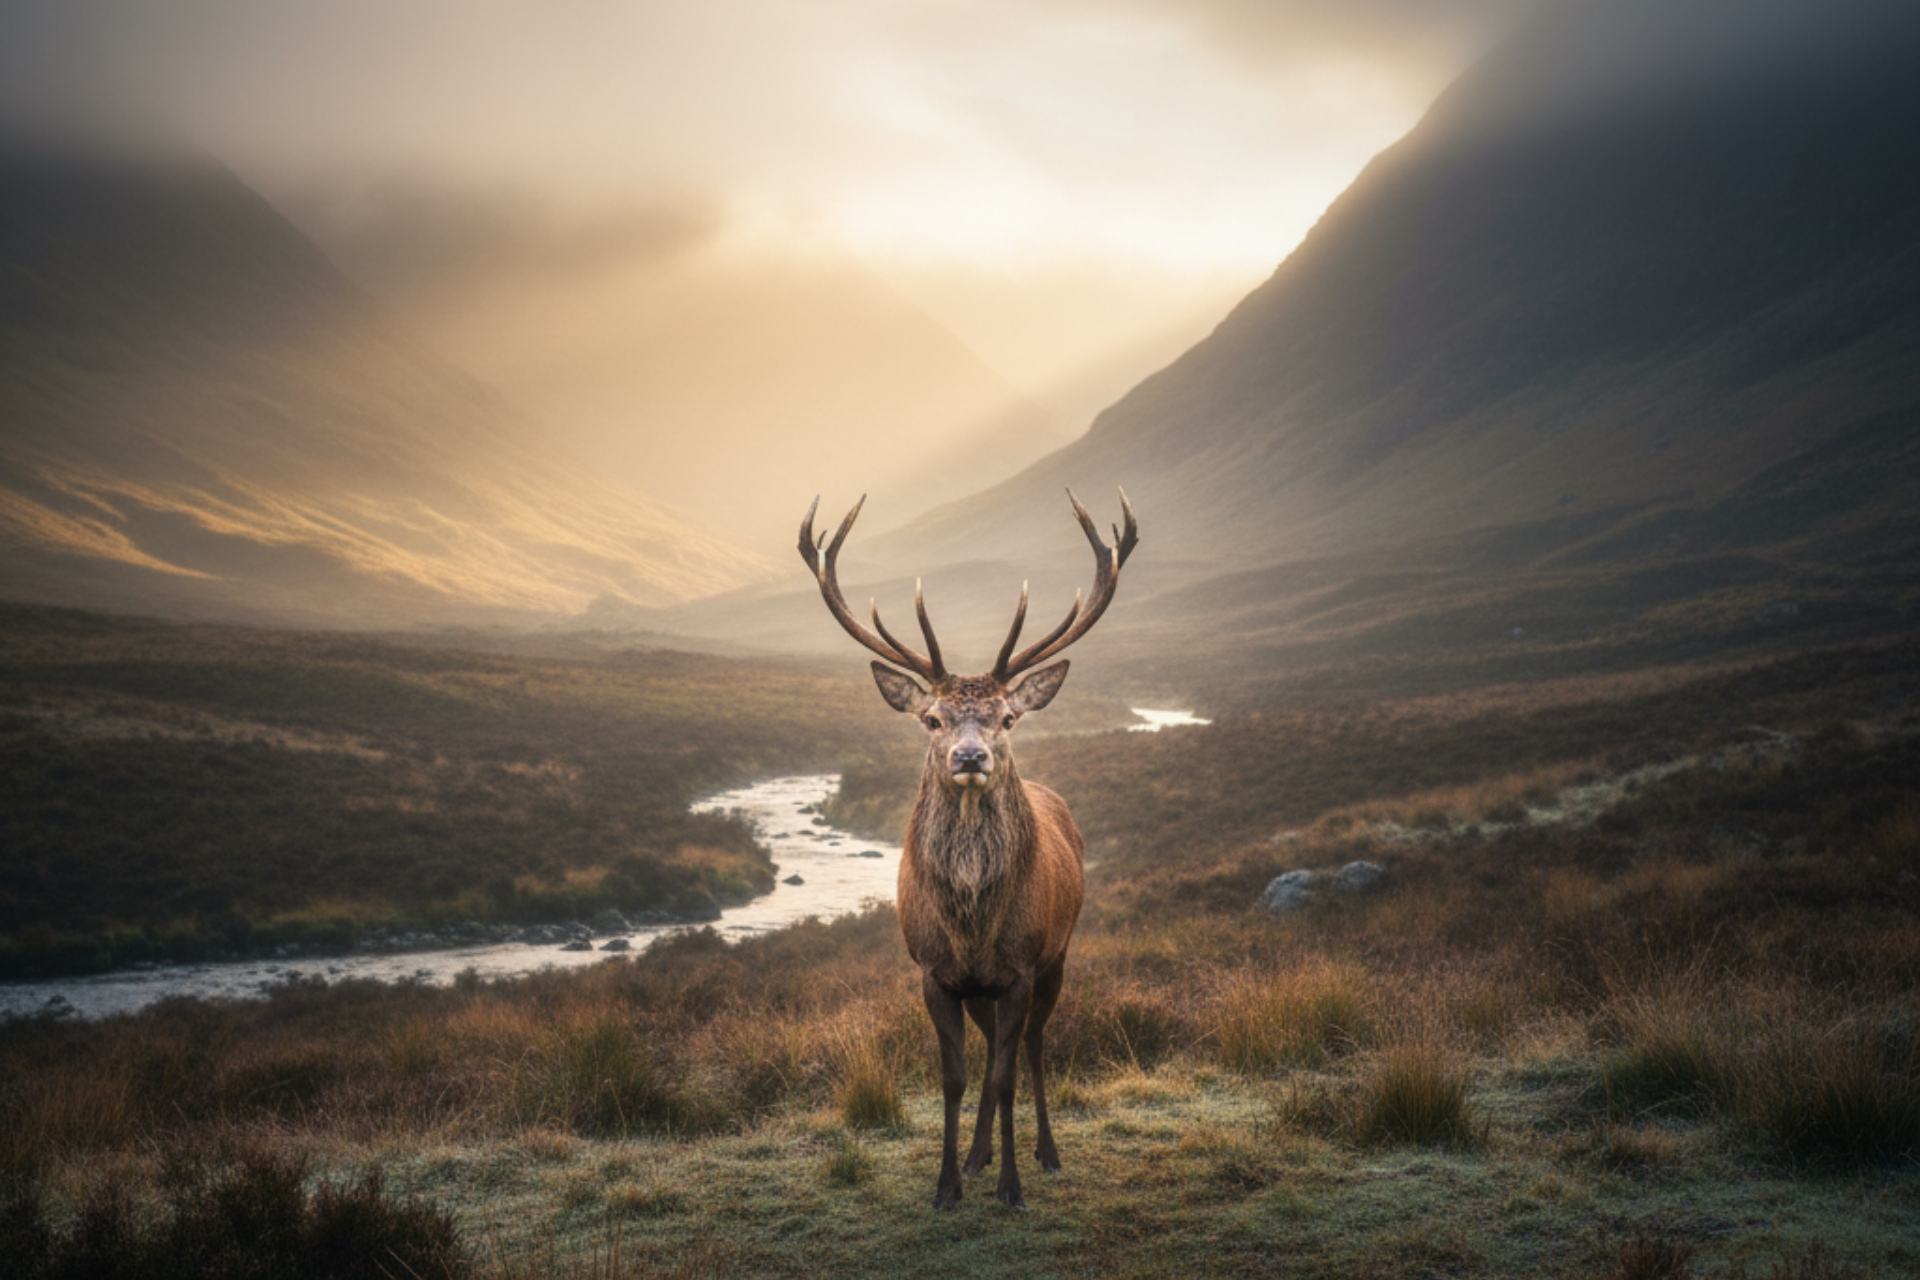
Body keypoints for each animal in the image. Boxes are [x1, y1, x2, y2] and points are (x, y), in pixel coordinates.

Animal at [799, 488, 1137, 1210]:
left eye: (1008, 717)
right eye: (932, 718)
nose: (970, 756)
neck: (973, 924)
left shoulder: (1020, 969)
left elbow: (1007, 1075)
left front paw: (1012, 1184)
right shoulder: (935, 973)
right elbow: (955, 1077)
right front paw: (949, 1183)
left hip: (1058, 955)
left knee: (1032, 1047)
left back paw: (1043, 1153)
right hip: (983, 989)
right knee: (988, 1055)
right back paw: (980, 1153)